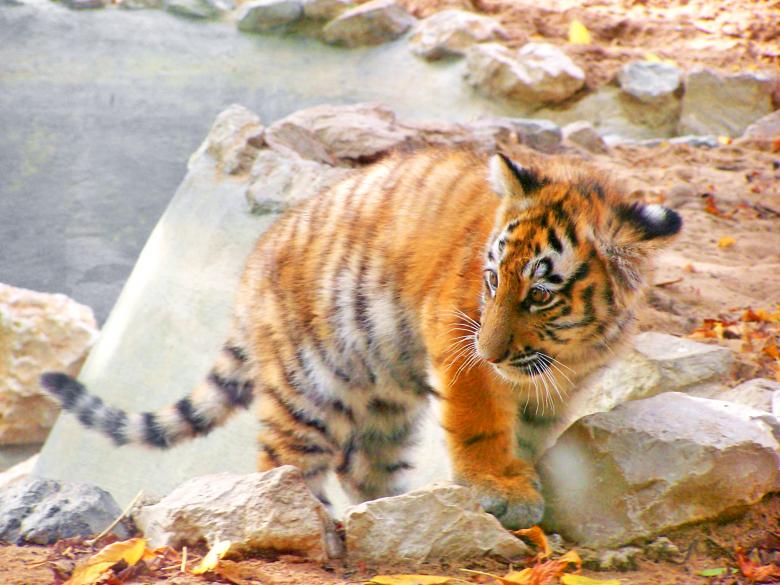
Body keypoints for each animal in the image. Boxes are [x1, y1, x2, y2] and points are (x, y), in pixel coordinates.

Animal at [41, 148, 681, 529]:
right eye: (493, 280)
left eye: (540, 295)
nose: (492, 352)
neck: (571, 347)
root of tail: (250, 272)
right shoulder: (456, 335)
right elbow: (481, 420)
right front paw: (500, 487)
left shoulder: (565, 381)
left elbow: (531, 430)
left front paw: (521, 478)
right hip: (309, 388)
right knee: (281, 467)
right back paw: (309, 520)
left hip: (385, 399)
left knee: (361, 467)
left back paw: (391, 509)